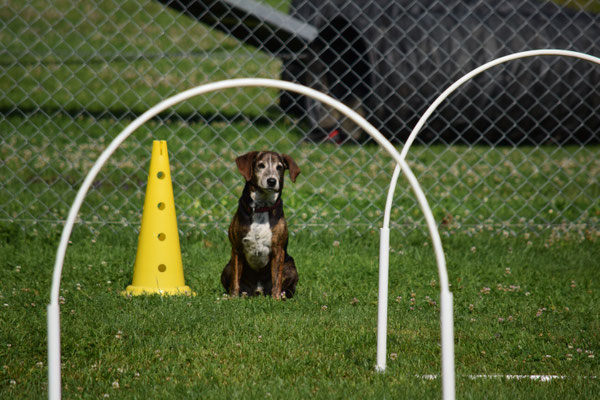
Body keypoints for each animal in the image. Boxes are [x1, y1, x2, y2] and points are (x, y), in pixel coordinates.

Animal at [220, 152, 300, 298]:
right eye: (260, 165)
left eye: (279, 167)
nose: (272, 181)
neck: (262, 207)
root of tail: (258, 291)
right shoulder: (237, 249)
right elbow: (235, 279)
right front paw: (233, 298)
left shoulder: (278, 250)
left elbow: (277, 279)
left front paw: (275, 299)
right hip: (227, 267)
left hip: (290, 265)